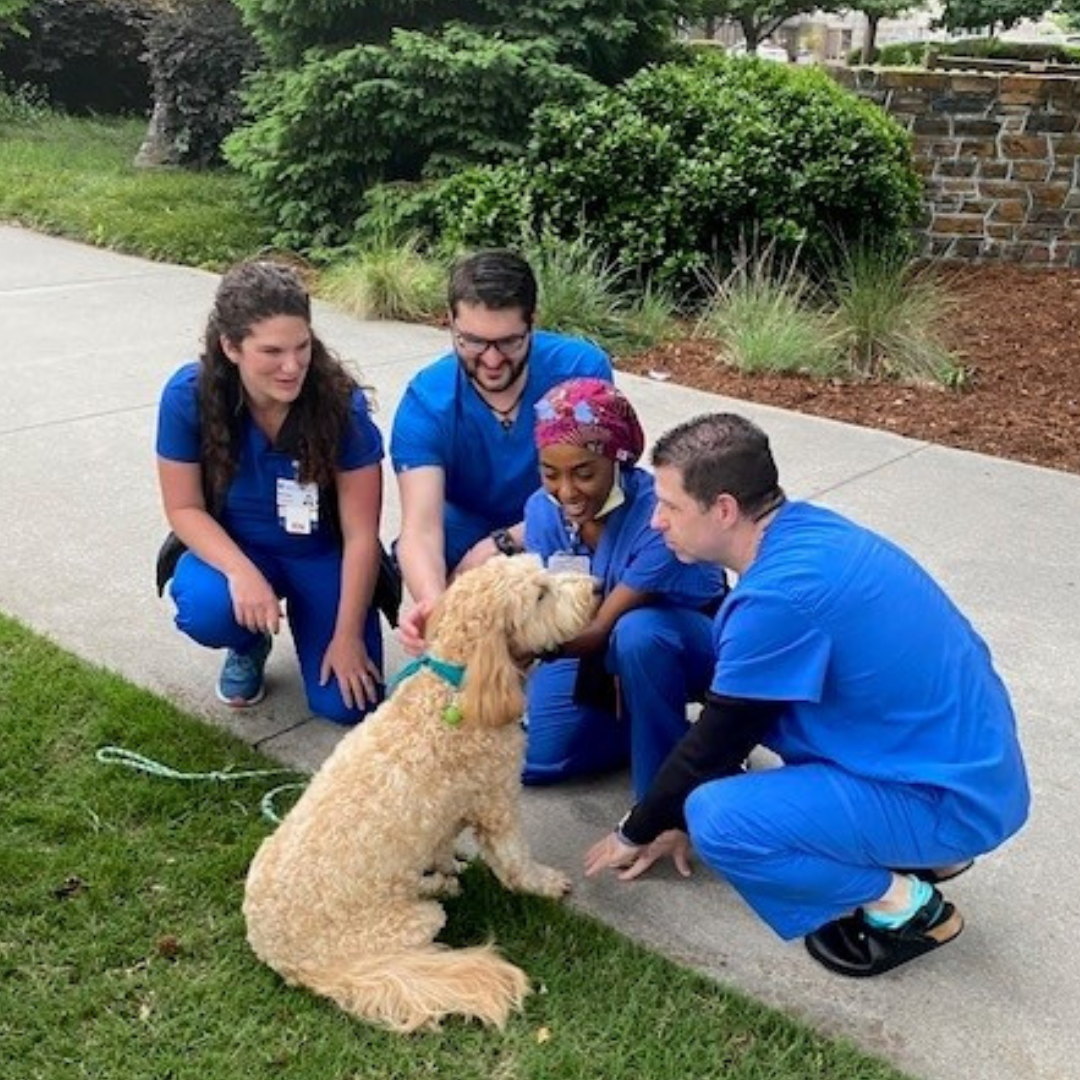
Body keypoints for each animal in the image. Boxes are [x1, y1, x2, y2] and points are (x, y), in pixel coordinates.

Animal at [245, 557, 596, 1028]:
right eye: (541, 594)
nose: (597, 587)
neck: (457, 686)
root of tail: (289, 962)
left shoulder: (446, 813)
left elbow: (443, 843)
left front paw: (448, 862)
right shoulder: (496, 802)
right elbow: (515, 861)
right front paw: (546, 883)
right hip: (408, 925)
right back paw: (439, 890)